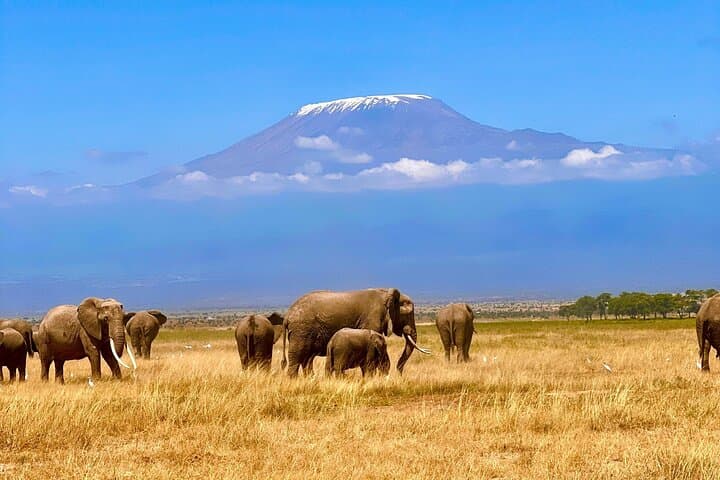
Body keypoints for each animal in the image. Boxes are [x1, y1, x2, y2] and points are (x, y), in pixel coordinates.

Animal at [281, 288, 430, 377]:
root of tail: (287, 315)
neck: (386, 292)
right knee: (297, 357)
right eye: (408, 315)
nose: (399, 373)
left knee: (307, 359)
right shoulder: (372, 319)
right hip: (301, 330)